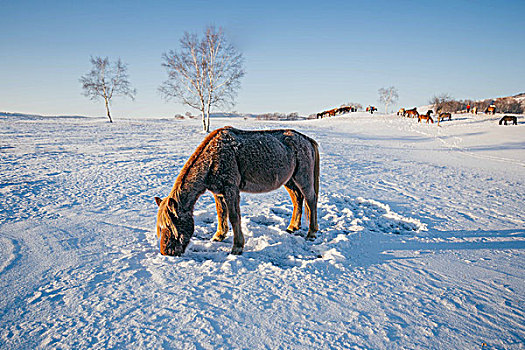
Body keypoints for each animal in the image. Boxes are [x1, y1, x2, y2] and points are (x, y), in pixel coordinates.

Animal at [154, 127, 320, 256]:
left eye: (172, 225)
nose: (166, 252)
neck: (212, 159)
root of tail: (307, 140)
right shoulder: (218, 193)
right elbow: (221, 214)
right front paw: (219, 236)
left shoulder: (231, 190)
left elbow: (234, 217)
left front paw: (237, 247)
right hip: (290, 181)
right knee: (297, 200)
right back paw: (293, 227)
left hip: (303, 178)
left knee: (311, 200)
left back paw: (311, 233)